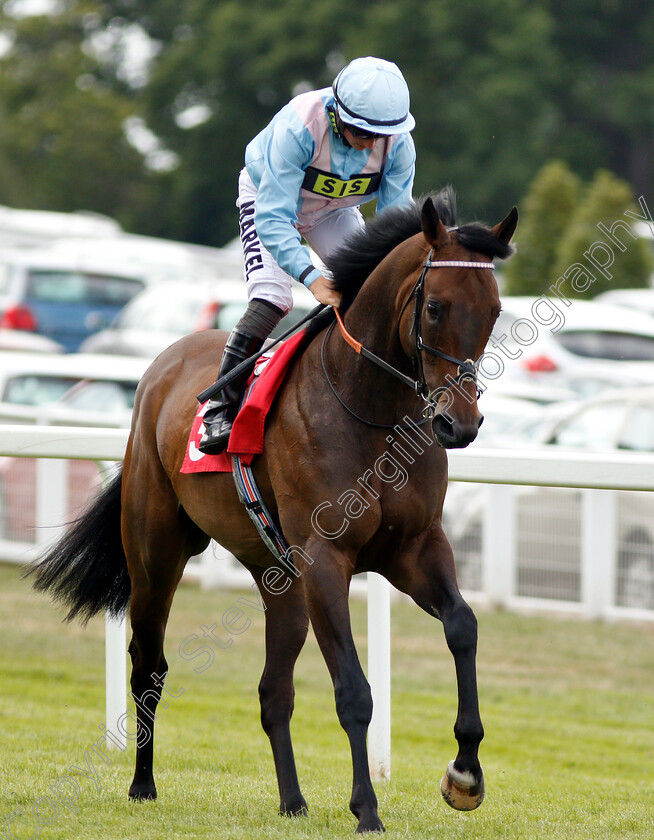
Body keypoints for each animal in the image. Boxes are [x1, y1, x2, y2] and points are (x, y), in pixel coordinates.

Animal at [30, 189, 520, 832]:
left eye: (493, 311)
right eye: (435, 307)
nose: (459, 424)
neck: (371, 409)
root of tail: (164, 364)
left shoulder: (414, 548)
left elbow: (463, 625)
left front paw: (464, 774)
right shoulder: (326, 559)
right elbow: (354, 690)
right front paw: (367, 809)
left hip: (278, 579)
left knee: (272, 692)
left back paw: (292, 800)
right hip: (156, 553)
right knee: (149, 666)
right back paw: (142, 783)